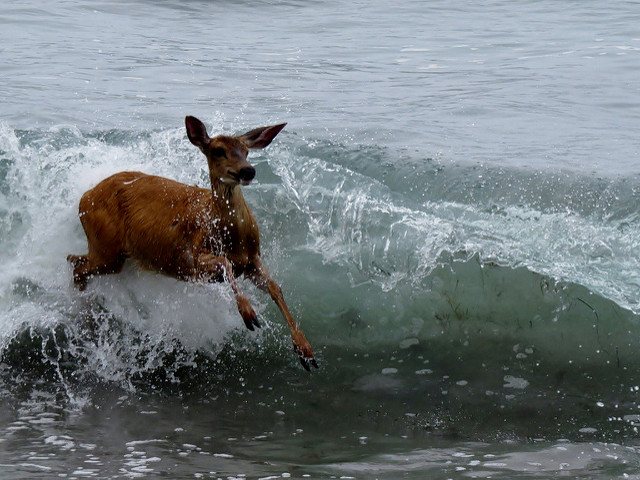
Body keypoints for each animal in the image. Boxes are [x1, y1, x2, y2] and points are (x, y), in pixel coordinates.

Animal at [67, 116, 318, 370]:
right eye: (218, 150)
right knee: (76, 265)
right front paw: (248, 314)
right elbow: (224, 263)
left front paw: (305, 350)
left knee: (75, 261)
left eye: (246, 151)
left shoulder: (252, 261)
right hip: (106, 246)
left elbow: (276, 288)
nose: (248, 170)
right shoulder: (192, 258)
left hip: (110, 253)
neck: (232, 239)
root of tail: (84, 197)